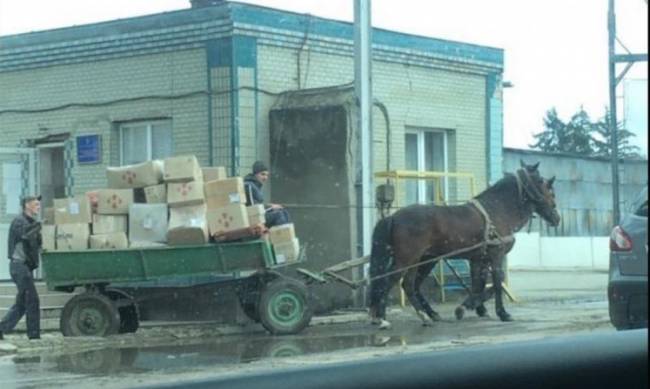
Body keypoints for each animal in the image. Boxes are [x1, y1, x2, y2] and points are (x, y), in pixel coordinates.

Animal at [368, 161, 560, 328]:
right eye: (547, 187)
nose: (556, 218)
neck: (497, 210)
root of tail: (393, 217)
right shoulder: (496, 254)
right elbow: (497, 282)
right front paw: (502, 313)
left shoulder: (478, 259)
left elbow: (478, 285)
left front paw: (473, 307)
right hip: (408, 259)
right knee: (392, 281)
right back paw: (384, 318)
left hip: (424, 260)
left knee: (410, 285)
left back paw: (428, 314)